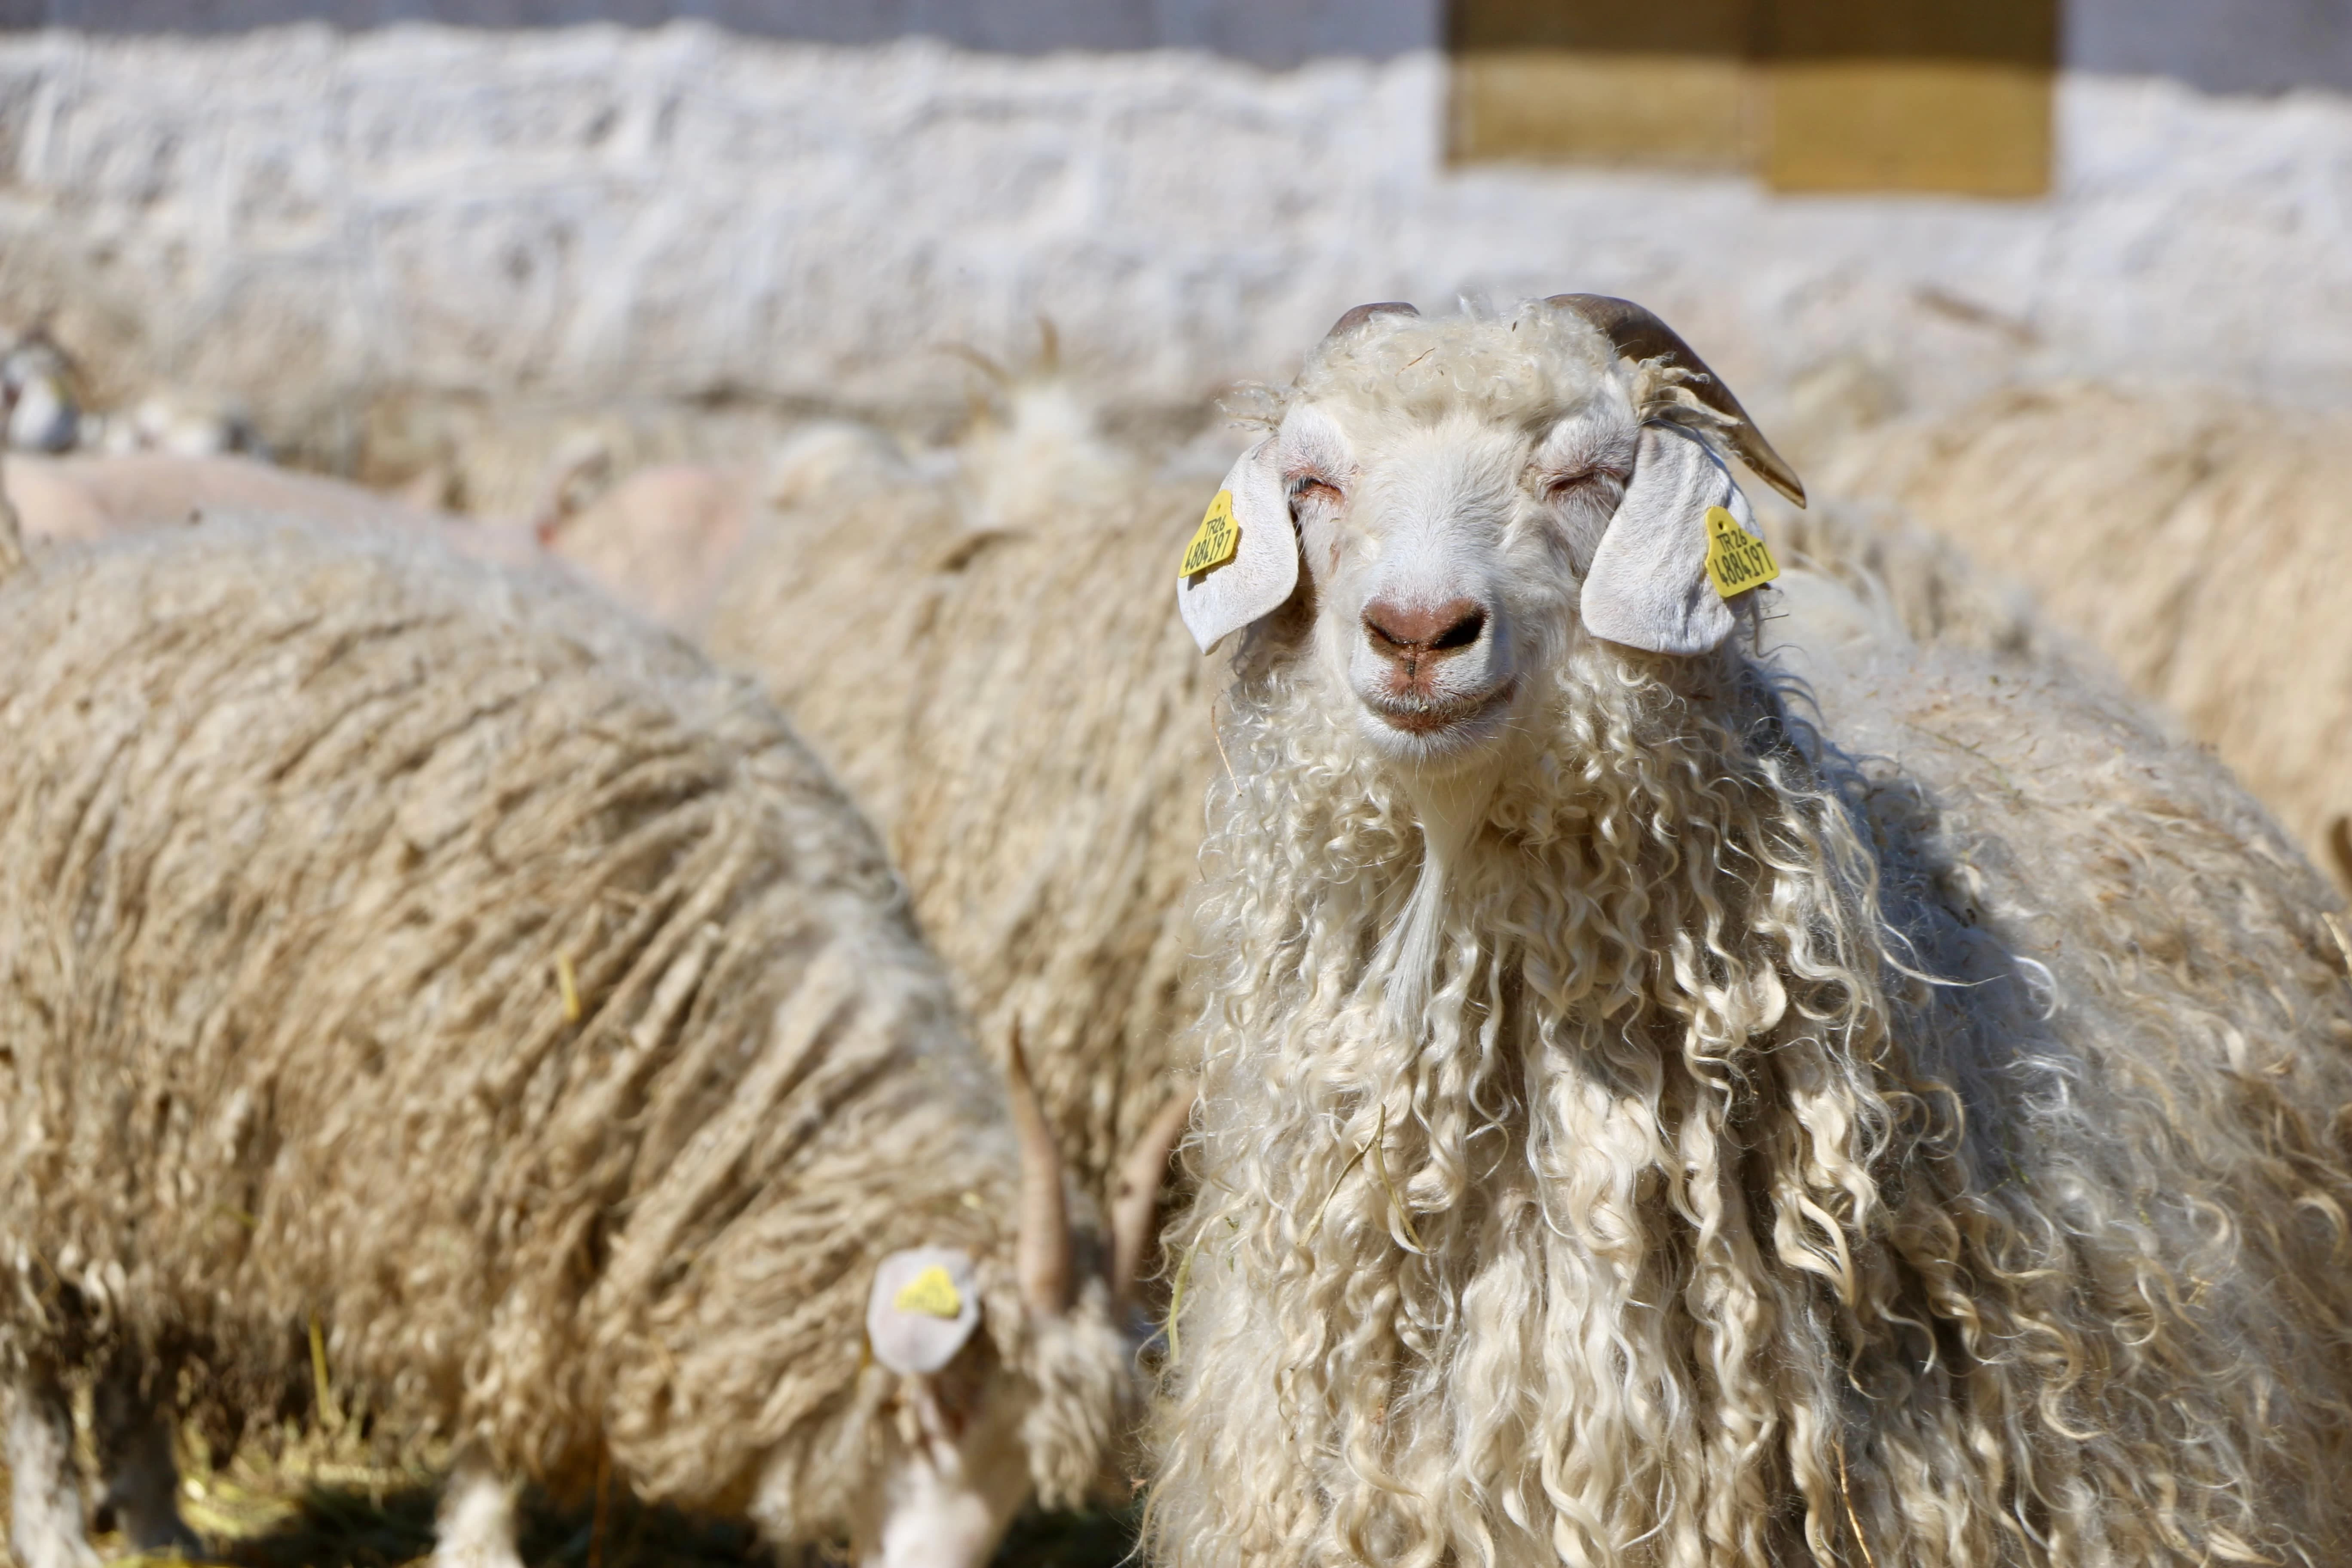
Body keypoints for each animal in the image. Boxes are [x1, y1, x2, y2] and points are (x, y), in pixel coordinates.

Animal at [0, 517, 1148, 1568]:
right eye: (938, 1404)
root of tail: (50, 579)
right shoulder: (475, 1195)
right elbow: (499, 1401)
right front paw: (480, 1544)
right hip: (37, 1106)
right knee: (30, 1360)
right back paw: (59, 1536)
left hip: (134, 1133)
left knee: (130, 1324)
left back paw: (157, 1520)